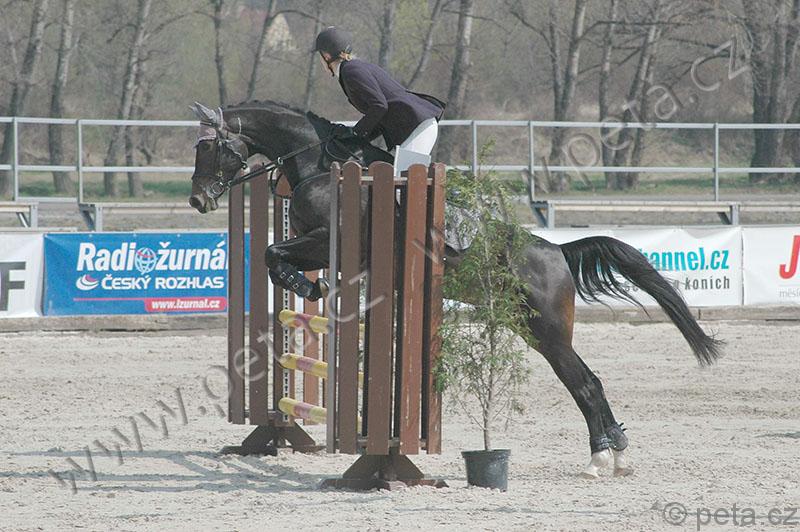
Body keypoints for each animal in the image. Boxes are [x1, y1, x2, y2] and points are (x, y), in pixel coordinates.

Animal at [188, 100, 723, 478]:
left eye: (208, 148)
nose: (196, 200)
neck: (319, 164)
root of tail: (557, 251)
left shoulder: (327, 241)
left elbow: (272, 254)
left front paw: (304, 286)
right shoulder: (317, 245)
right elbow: (274, 256)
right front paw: (306, 286)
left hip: (547, 331)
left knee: (586, 384)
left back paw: (599, 459)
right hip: (532, 329)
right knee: (589, 382)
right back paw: (615, 455)